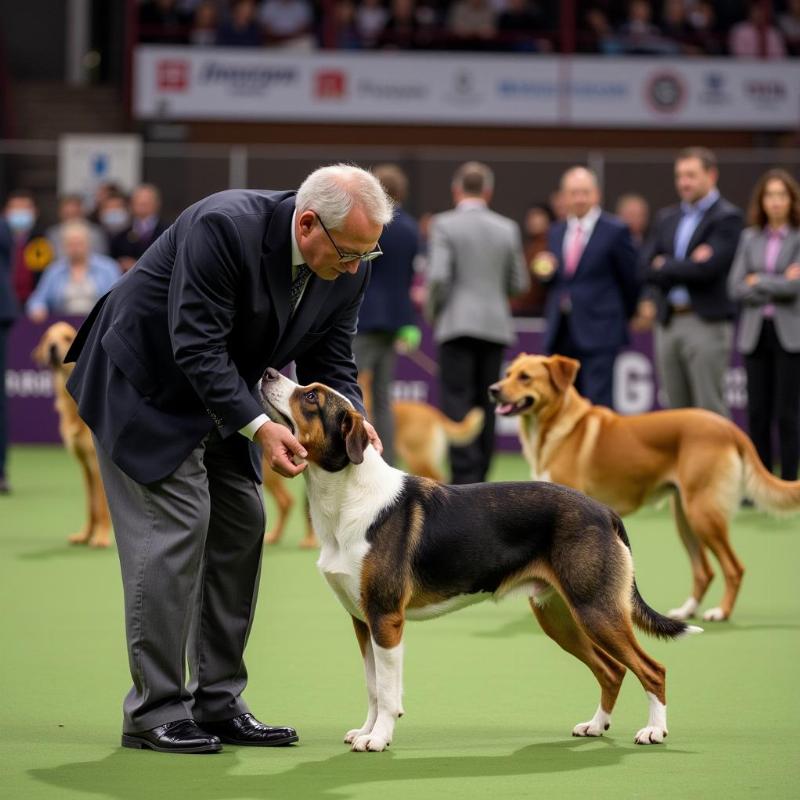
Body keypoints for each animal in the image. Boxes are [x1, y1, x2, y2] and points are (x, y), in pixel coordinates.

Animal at [32, 322, 112, 548]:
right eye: (48, 337)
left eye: (67, 338)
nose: (52, 347)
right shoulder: (84, 465)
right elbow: (91, 507)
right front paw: (85, 535)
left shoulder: (97, 464)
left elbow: (101, 507)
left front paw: (101, 537)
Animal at [488, 354, 800, 620]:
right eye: (507, 373)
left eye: (525, 377)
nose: (493, 389)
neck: (554, 427)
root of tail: (729, 427)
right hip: (685, 518)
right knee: (704, 571)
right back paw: (686, 611)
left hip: (703, 514)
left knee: (734, 568)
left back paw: (720, 612)